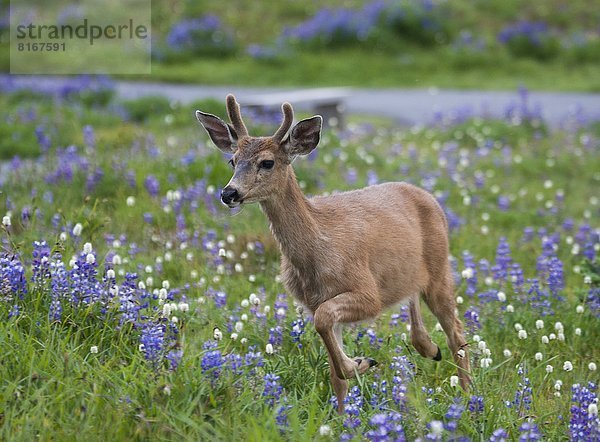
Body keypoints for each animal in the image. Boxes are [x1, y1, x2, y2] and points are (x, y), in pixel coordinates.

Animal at [195, 94, 472, 414]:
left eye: (267, 162)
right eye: (233, 160)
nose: (229, 193)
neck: (318, 250)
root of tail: (429, 197)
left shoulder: (367, 293)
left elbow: (327, 325)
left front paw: (362, 363)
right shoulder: (316, 302)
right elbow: (334, 369)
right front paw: (341, 413)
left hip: (440, 268)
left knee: (457, 333)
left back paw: (467, 394)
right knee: (415, 298)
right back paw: (429, 348)